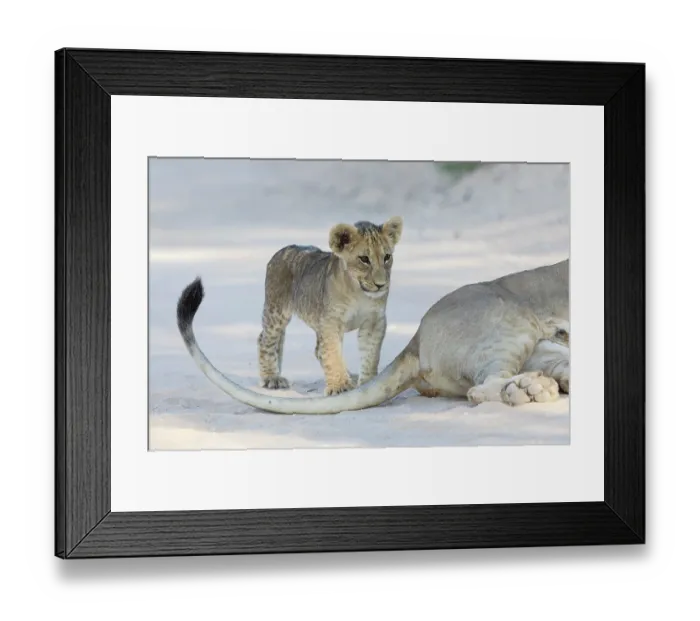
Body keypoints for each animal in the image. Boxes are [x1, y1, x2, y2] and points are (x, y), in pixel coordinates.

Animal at [257, 216, 403, 395]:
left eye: (387, 257)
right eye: (364, 259)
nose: (381, 285)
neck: (358, 293)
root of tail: (284, 249)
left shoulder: (374, 320)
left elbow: (370, 354)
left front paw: (368, 383)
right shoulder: (331, 321)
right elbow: (332, 353)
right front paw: (340, 386)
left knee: (317, 350)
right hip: (276, 312)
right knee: (265, 340)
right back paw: (272, 378)